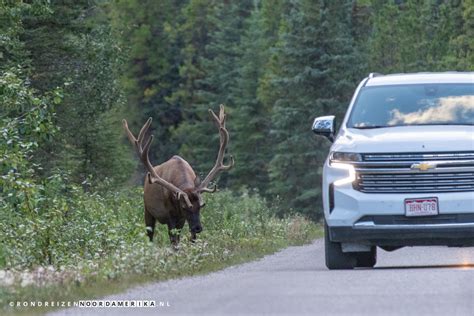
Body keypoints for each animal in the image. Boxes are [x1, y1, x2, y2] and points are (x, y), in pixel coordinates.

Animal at [122, 105, 233, 243]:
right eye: (184, 207)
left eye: (201, 206)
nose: (198, 228)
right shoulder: (170, 215)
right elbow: (173, 240)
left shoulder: (182, 218)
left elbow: (188, 238)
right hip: (147, 210)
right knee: (150, 234)